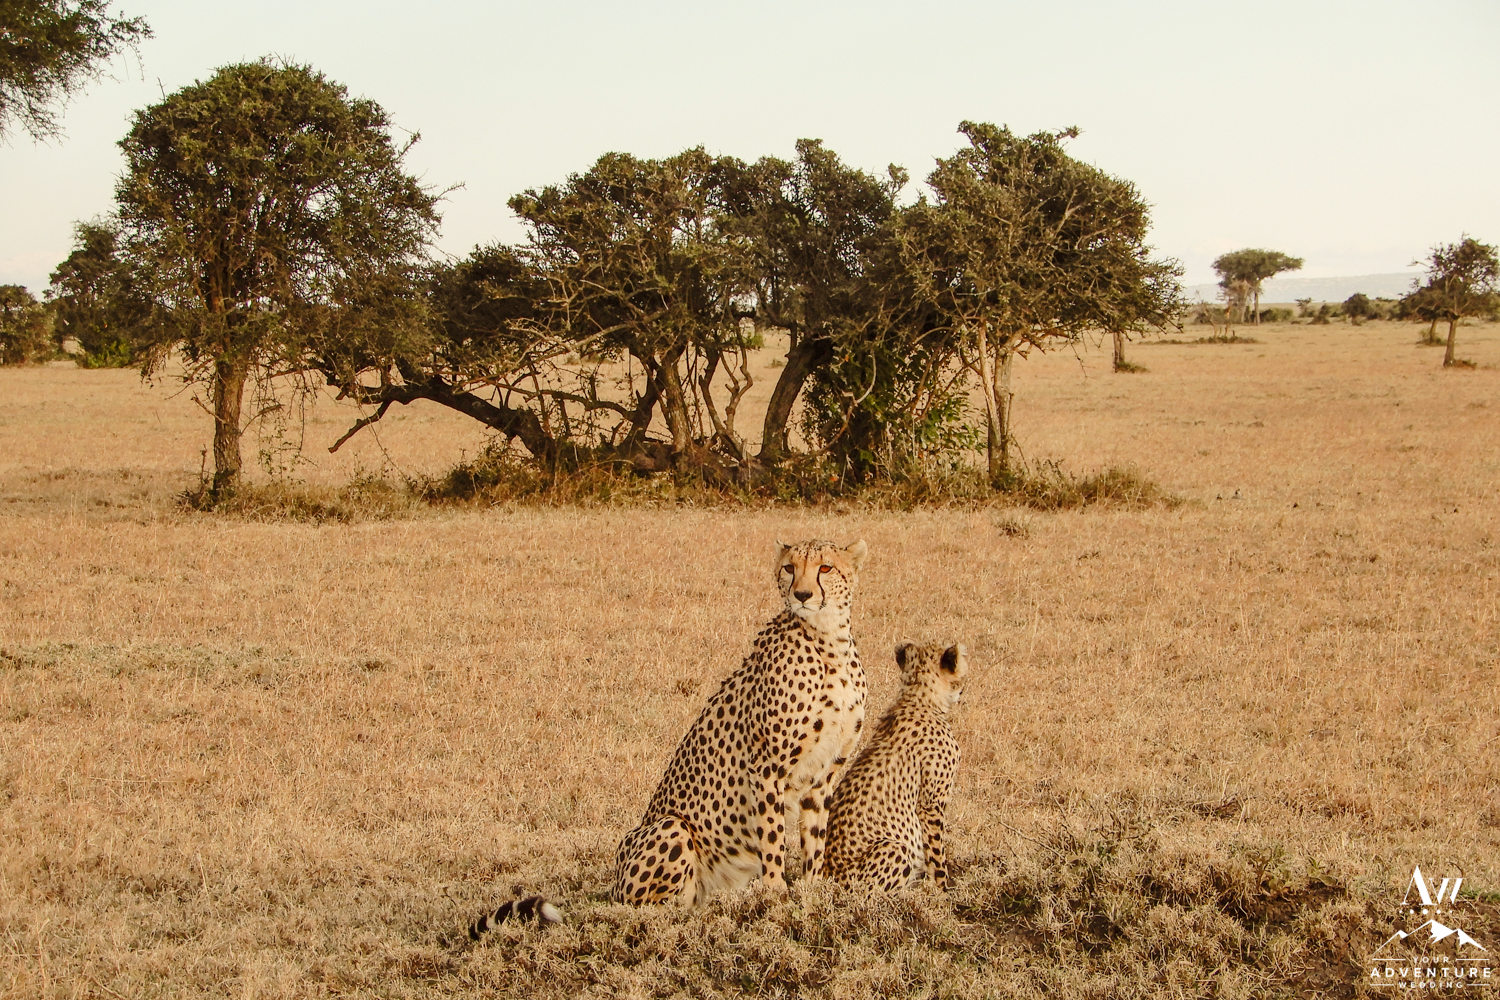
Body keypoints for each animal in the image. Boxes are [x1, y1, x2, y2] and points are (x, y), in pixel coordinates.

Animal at [609, 538, 870, 906]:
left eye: (825, 568)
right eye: (789, 568)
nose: (802, 595)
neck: (829, 641)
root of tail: (615, 884)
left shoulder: (824, 774)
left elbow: (815, 838)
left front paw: (813, 888)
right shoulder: (767, 766)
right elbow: (772, 834)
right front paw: (775, 890)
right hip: (671, 828)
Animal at [821, 641, 968, 893]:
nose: (962, 691)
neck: (919, 698)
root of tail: (826, 876)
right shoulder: (930, 805)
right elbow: (937, 854)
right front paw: (943, 890)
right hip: (894, 848)